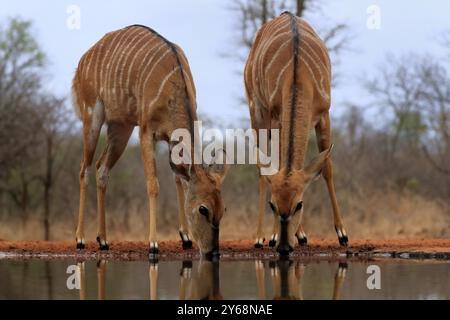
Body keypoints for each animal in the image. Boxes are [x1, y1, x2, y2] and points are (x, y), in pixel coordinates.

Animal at [75, 24, 229, 255]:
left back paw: (103, 240)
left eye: (223, 209)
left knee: (102, 169)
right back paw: (80, 239)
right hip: (92, 117)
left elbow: (177, 179)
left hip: (121, 128)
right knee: (84, 169)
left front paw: (185, 238)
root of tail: (83, 60)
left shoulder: (170, 139)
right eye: (203, 209)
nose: (213, 251)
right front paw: (153, 244)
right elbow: (153, 184)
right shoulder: (147, 133)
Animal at [246, 11, 348, 255]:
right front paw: (272, 235)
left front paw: (342, 234)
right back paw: (260, 237)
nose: (283, 246)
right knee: (262, 169)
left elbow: (326, 168)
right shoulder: (278, 116)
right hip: (257, 113)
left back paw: (300, 235)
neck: (298, 75)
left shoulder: (323, 115)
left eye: (299, 204)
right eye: (272, 205)